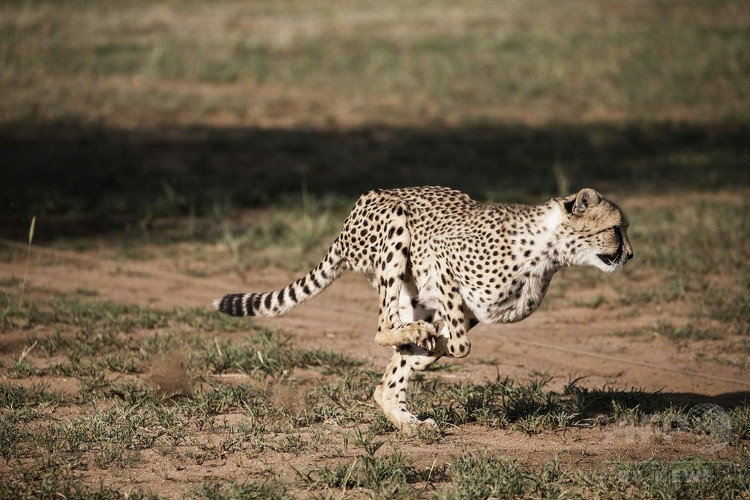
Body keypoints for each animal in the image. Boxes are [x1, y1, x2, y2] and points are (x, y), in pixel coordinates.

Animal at [214, 186, 633, 432]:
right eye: (616, 229)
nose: (630, 254)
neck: (549, 249)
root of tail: (363, 202)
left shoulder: (470, 311)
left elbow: (443, 344)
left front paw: (427, 346)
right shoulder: (443, 258)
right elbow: (461, 346)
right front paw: (433, 342)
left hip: (409, 294)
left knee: (385, 382)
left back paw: (406, 418)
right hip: (395, 224)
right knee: (382, 328)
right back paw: (415, 341)